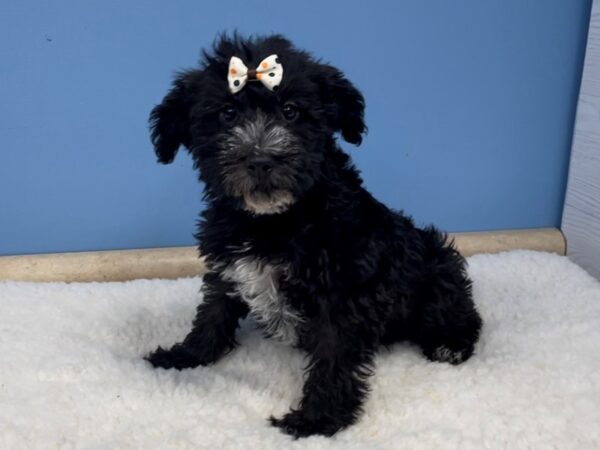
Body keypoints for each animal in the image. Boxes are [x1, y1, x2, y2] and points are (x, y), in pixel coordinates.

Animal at [146, 35, 482, 440]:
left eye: (291, 112)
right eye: (227, 114)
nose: (260, 160)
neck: (274, 220)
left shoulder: (342, 291)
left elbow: (334, 356)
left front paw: (318, 419)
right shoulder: (228, 265)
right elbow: (213, 312)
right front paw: (186, 355)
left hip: (436, 271)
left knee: (461, 313)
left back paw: (451, 344)